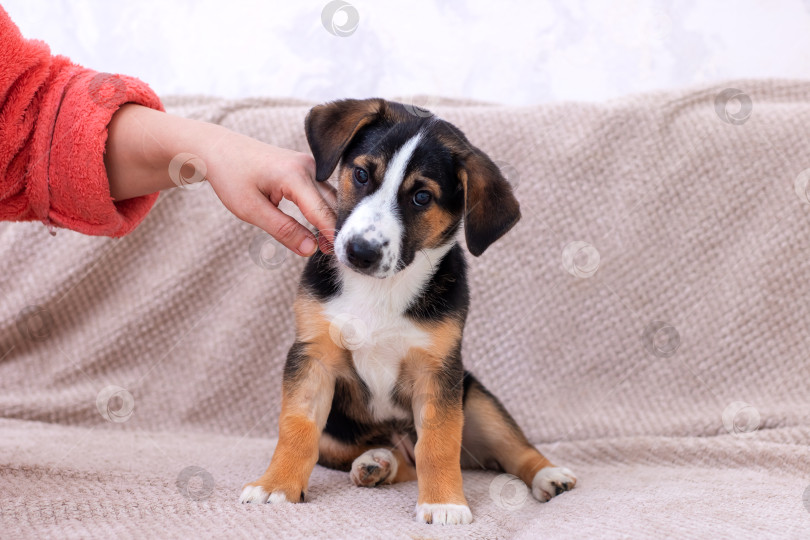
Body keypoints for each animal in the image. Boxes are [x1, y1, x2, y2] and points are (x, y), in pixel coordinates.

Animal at [240, 99, 576, 524]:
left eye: (421, 198)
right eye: (362, 174)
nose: (360, 252)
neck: (382, 287)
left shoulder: (439, 371)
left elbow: (438, 444)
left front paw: (444, 504)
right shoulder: (313, 355)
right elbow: (296, 428)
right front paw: (277, 486)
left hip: (476, 399)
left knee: (506, 447)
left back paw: (550, 475)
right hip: (337, 434)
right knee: (398, 459)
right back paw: (376, 463)